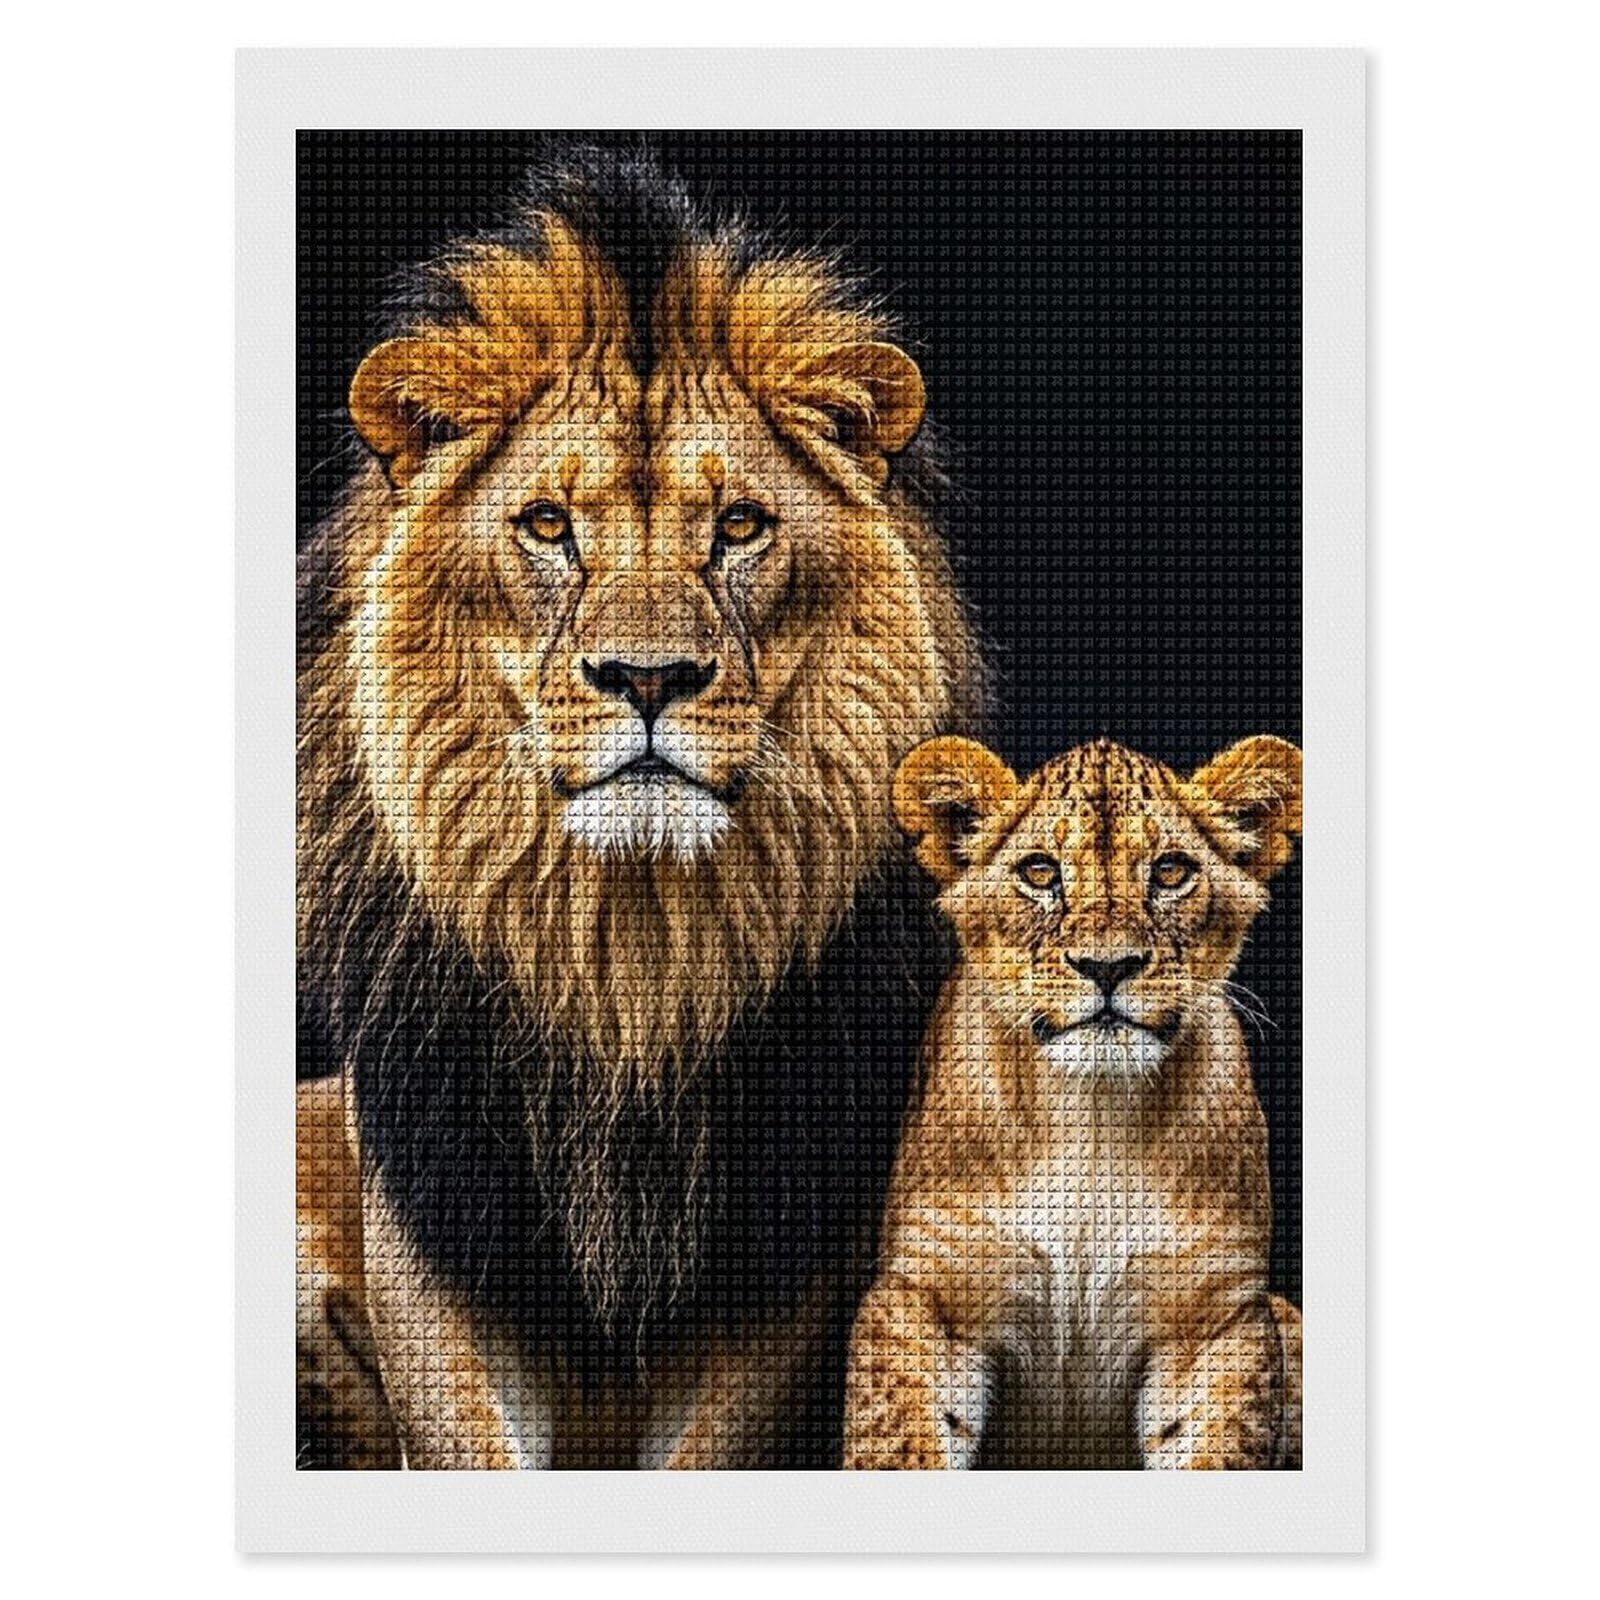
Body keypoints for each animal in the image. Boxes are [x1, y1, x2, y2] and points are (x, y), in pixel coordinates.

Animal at [295, 149, 981, 1468]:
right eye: (548, 526)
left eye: (741, 526)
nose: (649, 677)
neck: (633, 959)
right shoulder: (435, 1220)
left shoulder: (783, 1256)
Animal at [843, 734, 1302, 1469]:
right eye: (1039, 871)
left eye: (1171, 871)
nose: (1107, 966)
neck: (1092, 1119)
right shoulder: (926, 1293)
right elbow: (895, 1445)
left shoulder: (1217, 1317)